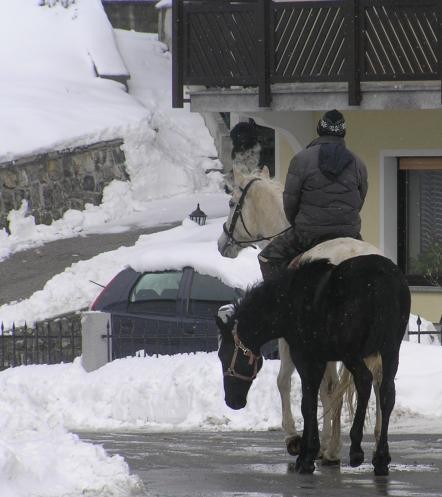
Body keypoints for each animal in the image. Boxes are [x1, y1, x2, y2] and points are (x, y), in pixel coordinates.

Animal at [218, 167, 384, 462]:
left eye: (231, 203)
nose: (222, 242)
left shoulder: (290, 338)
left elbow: (286, 381)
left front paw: (297, 438)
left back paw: (331, 447)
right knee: (376, 381)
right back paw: (373, 444)